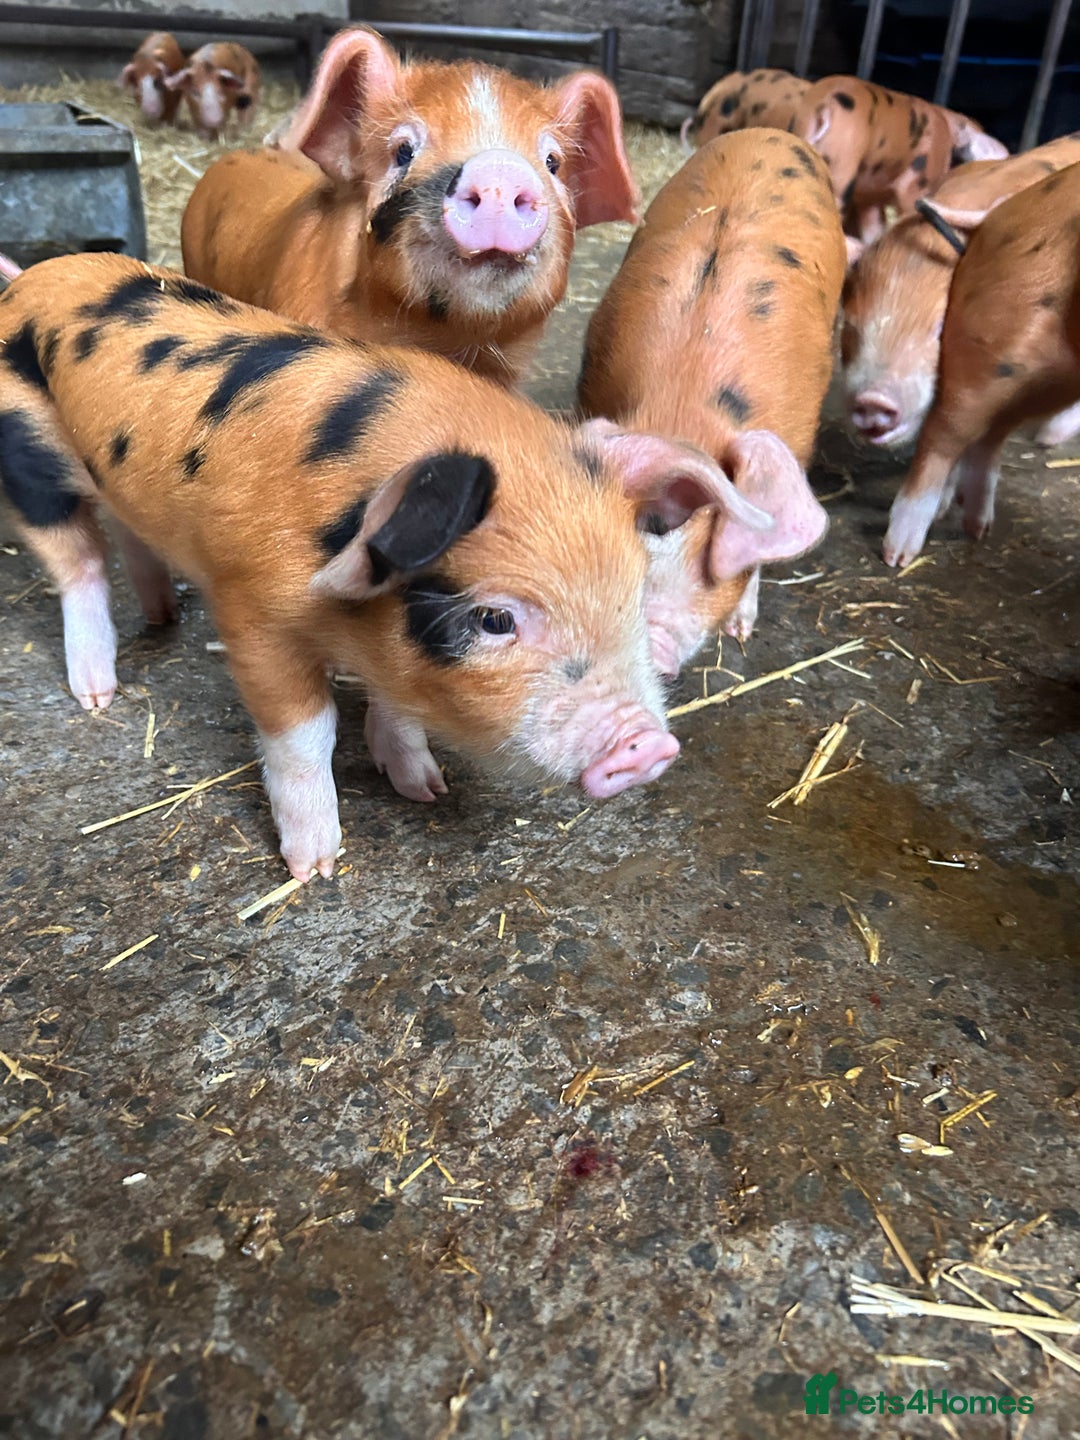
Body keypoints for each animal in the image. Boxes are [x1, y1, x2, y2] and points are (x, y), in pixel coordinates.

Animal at [0, 253, 814, 879]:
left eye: (634, 587)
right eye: (495, 618)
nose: (647, 745)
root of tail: (32, 274)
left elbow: (396, 702)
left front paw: (425, 789)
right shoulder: (250, 612)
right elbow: (305, 734)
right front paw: (316, 869)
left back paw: (163, 614)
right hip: (29, 454)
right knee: (78, 563)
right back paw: (96, 695)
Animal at [882, 162, 1080, 568]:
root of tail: (997, 212)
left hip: (1054, 376)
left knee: (991, 433)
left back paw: (978, 529)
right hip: (1000, 337)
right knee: (944, 431)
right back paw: (898, 556)